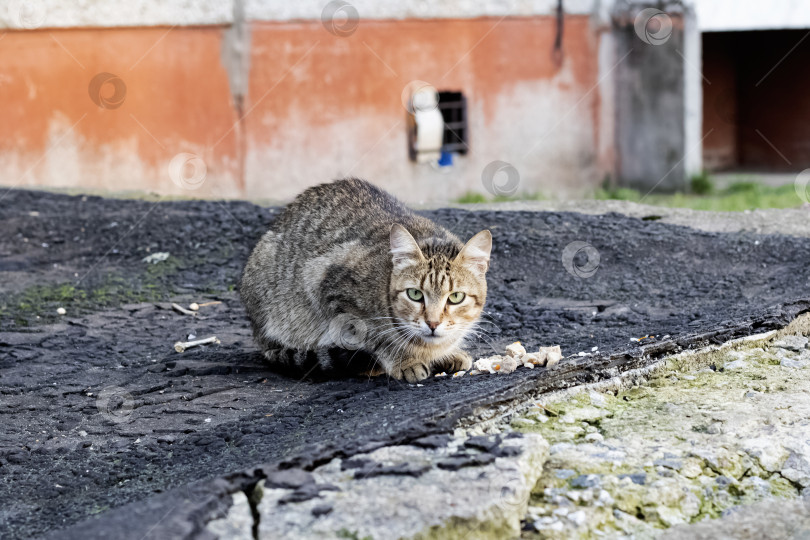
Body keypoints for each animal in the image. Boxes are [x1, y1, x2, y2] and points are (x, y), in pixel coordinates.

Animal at [238, 179, 492, 382]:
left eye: (455, 297)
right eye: (415, 294)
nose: (432, 323)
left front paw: (448, 353)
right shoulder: (323, 283)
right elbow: (373, 337)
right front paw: (403, 360)